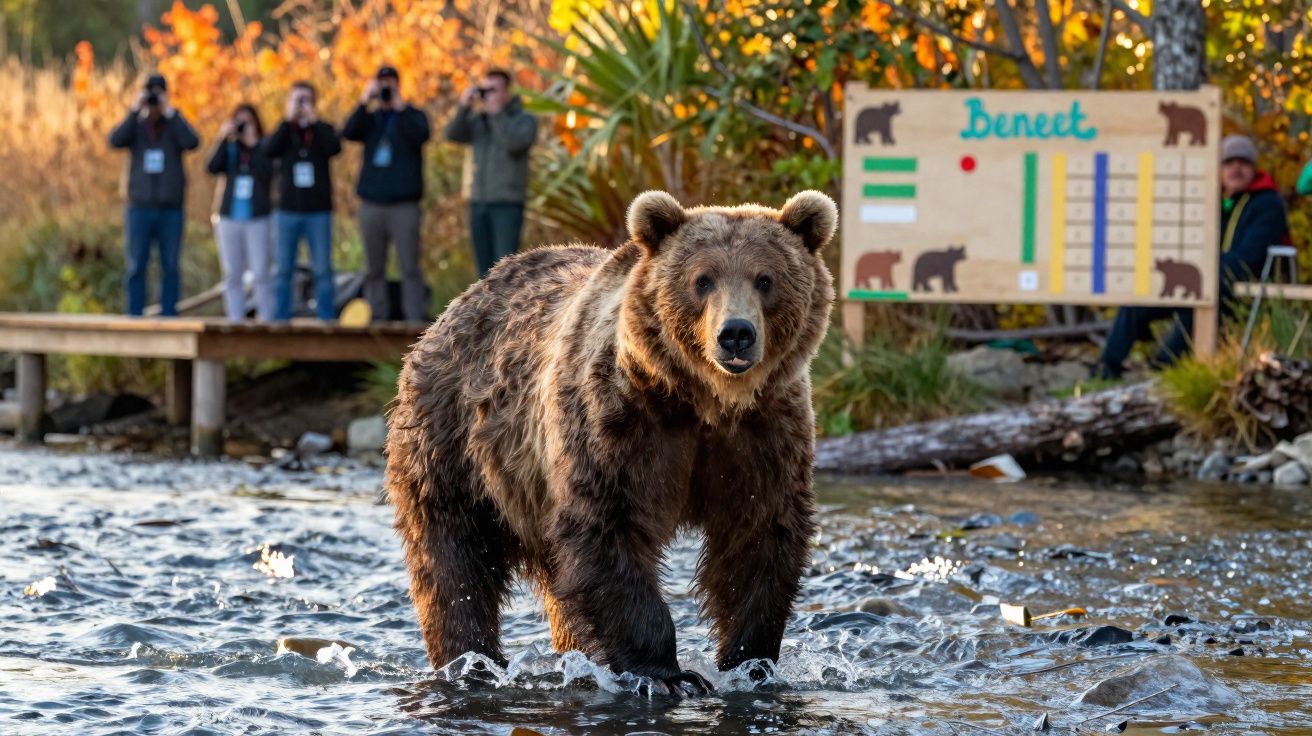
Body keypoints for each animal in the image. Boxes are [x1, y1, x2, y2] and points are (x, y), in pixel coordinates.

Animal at [385, 190, 837, 698]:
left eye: (765, 279)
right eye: (702, 279)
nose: (736, 334)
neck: (704, 402)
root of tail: (458, 303)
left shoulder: (762, 435)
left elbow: (759, 537)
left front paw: (750, 662)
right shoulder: (620, 424)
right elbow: (609, 528)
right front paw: (669, 674)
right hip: (456, 443)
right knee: (454, 559)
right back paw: (470, 661)